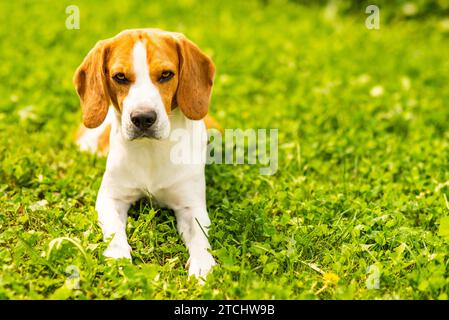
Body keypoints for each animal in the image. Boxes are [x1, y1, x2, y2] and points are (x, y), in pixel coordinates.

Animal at [73, 29, 217, 280]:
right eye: (120, 77)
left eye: (166, 74)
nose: (142, 118)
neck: (151, 150)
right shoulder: (110, 198)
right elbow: (114, 232)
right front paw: (118, 258)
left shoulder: (191, 206)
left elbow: (200, 236)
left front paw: (203, 265)